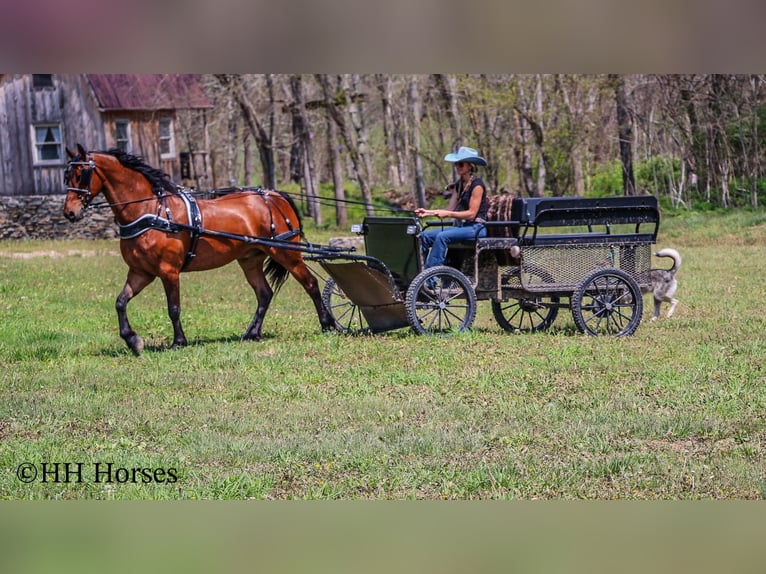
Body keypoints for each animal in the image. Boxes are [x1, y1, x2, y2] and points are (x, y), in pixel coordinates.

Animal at [63, 144, 336, 355]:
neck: (152, 211)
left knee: (310, 283)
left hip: (287, 253)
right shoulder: (141, 272)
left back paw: (328, 324)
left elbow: (173, 308)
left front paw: (178, 342)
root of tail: (273, 195)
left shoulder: (168, 271)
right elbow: (120, 302)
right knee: (264, 294)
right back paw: (252, 333)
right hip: (250, 259)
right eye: (66, 176)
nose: (69, 213)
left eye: (82, 174)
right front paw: (133, 340)